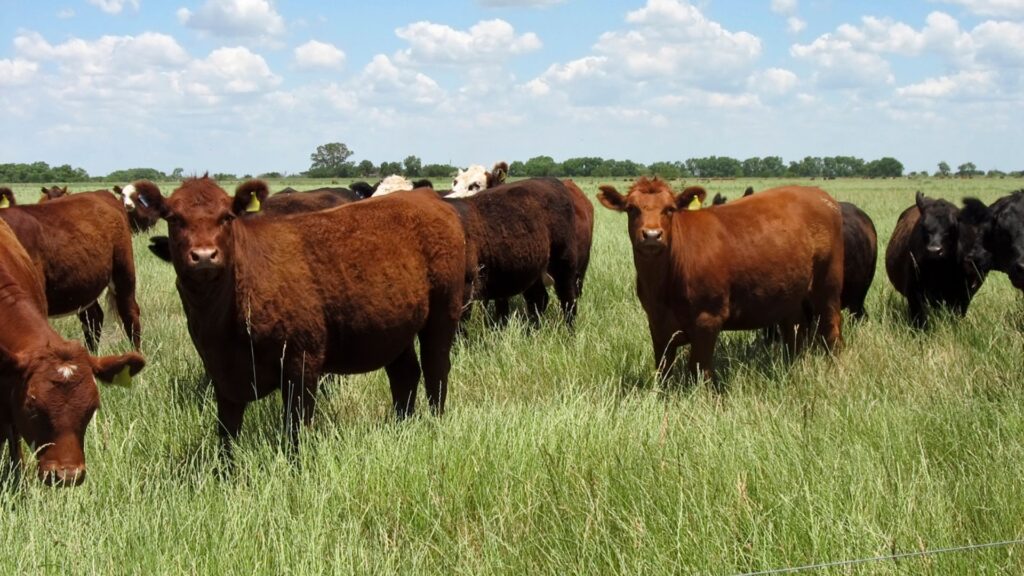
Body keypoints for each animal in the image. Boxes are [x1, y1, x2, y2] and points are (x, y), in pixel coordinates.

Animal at [138, 177, 467, 456]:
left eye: (227, 217)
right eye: (174, 218)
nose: (204, 255)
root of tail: (426, 197)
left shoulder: (302, 361)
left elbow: (295, 427)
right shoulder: (220, 371)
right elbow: (227, 434)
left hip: (443, 312)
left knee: (435, 369)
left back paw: (435, 422)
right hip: (394, 327)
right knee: (405, 374)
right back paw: (402, 425)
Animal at [598, 178, 844, 383]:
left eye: (670, 209)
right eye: (631, 208)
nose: (651, 235)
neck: (662, 288)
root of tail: (820, 195)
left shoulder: (708, 319)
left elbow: (700, 370)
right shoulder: (657, 324)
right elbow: (662, 370)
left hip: (827, 286)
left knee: (831, 329)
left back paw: (835, 369)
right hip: (789, 295)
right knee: (794, 331)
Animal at [885, 191, 985, 327]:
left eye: (952, 227)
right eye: (923, 225)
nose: (934, 250)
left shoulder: (965, 291)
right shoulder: (914, 291)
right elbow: (920, 317)